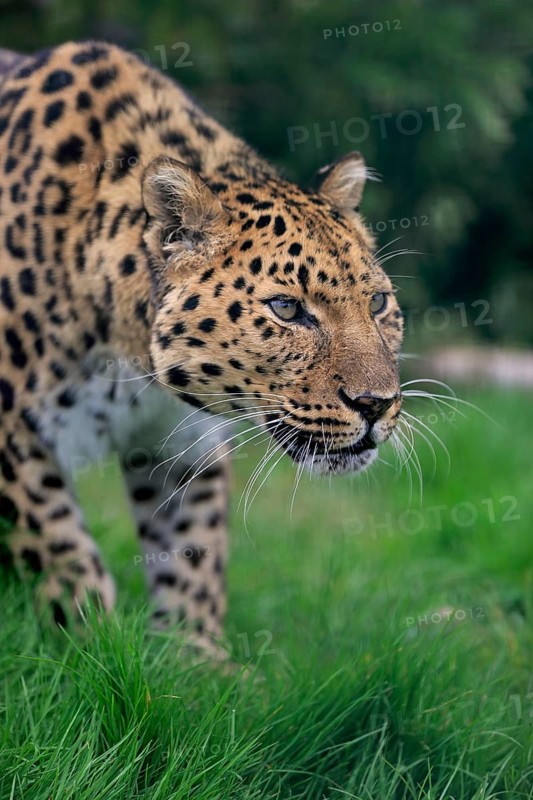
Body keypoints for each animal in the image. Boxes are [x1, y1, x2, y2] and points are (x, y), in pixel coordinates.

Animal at [0, 40, 403, 658]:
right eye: (287, 310)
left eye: (378, 302)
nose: (377, 405)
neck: (132, 365)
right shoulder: (12, 436)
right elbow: (65, 555)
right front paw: (94, 649)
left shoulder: (184, 445)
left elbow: (191, 555)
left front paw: (195, 663)